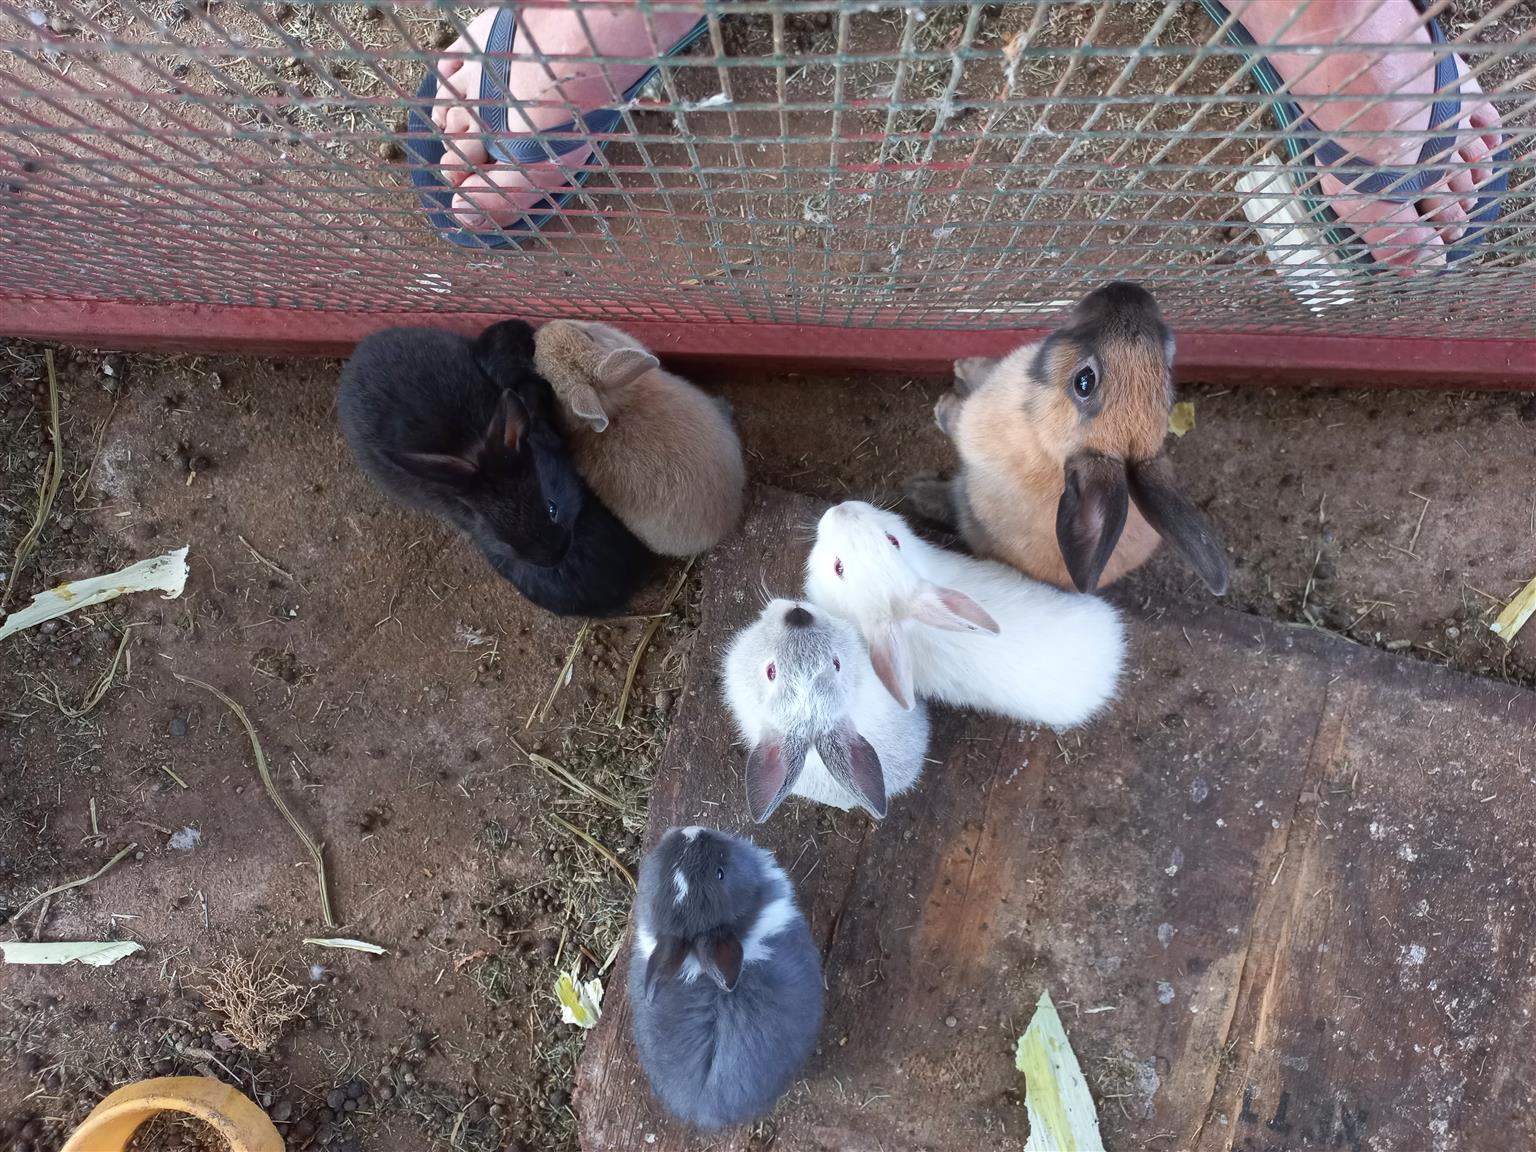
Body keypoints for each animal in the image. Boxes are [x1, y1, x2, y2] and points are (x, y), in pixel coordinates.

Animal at [905, 281, 1229, 596]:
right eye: (1168, 365)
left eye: (1084, 381)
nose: (1129, 291)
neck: (1039, 420)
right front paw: (963, 364)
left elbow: (956, 415)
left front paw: (944, 404)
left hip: (968, 508)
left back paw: (918, 492)